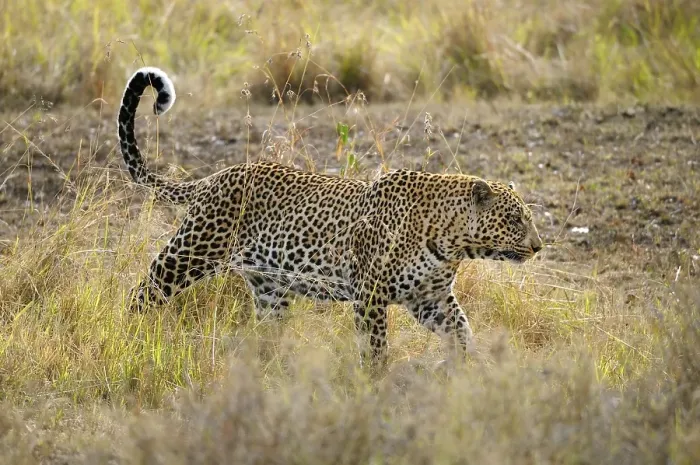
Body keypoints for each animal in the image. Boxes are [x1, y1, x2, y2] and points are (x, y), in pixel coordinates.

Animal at [117, 67, 544, 367]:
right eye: (515, 220)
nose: (539, 247)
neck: (452, 242)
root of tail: (213, 177)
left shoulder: (431, 298)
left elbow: (462, 331)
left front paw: (470, 368)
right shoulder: (370, 294)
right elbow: (375, 347)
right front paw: (375, 384)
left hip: (270, 289)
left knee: (266, 332)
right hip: (190, 252)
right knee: (144, 291)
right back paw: (130, 335)